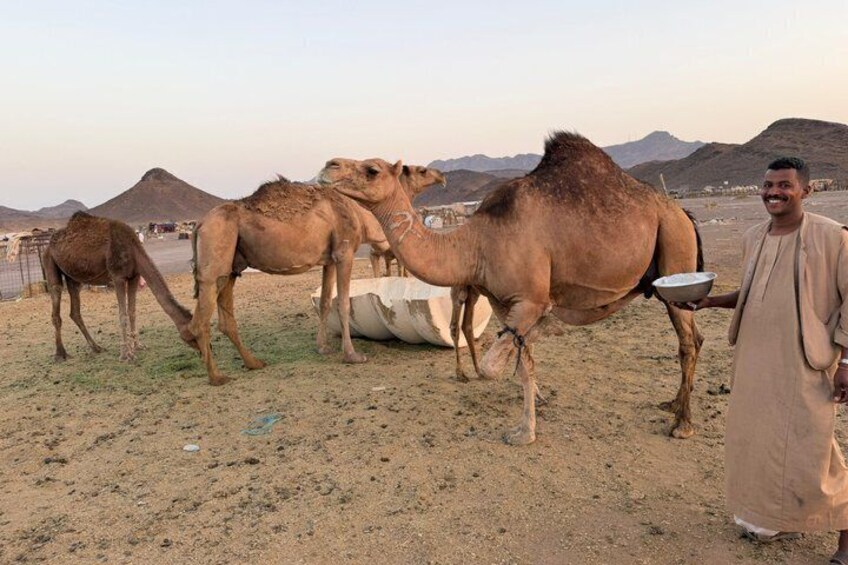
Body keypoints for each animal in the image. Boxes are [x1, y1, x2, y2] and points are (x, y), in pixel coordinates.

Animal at [43, 212, 197, 362]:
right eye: (194, 336)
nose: (200, 351)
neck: (133, 248)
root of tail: (48, 246)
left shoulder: (134, 276)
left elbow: (132, 312)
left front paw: (138, 346)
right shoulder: (118, 277)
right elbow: (122, 314)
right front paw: (125, 354)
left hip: (73, 278)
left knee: (75, 311)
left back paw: (96, 347)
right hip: (49, 260)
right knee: (56, 297)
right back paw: (60, 354)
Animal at [189, 167, 445, 385]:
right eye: (422, 170)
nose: (442, 177)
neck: (360, 214)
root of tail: (199, 224)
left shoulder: (328, 260)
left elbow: (324, 302)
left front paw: (322, 348)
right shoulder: (344, 253)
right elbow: (343, 303)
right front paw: (352, 355)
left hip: (231, 267)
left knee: (225, 319)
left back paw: (254, 363)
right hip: (214, 255)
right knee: (200, 321)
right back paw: (217, 377)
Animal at [318, 131, 704, 445]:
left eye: (372, 169)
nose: (327, 165)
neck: (476, 243)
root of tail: (683, 212)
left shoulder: (530, 300)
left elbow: (495, 367)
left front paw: (525, 423)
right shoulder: (504, 302)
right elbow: (524, 365)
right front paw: (526, 428)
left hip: (675, 246)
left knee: (687, 341)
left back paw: (682, 424)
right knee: (695, 338)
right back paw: (673, 403)